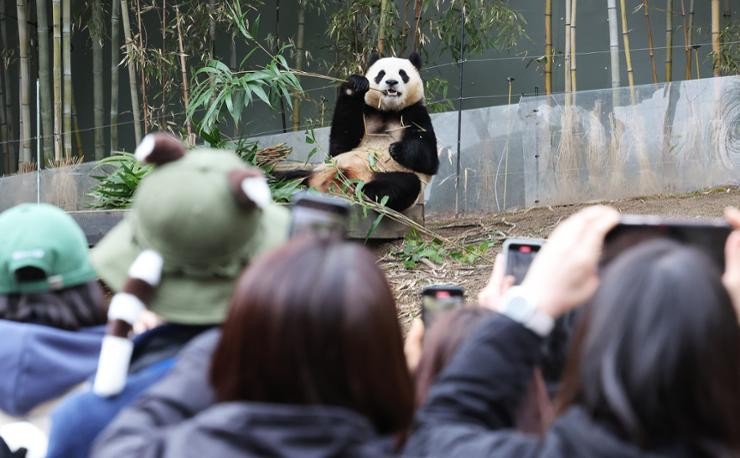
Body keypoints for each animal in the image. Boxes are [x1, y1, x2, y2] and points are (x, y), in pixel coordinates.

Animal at [304, 51, 436, 212]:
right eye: (381, 74)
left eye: (402, 73)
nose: (391, 82)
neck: (388, 111)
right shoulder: (367, 112)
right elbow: (339, 145)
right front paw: (355, 85)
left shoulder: (415, 114)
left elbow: (428, 158)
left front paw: (396, 148)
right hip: (319, 170)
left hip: (386, 175)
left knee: (400, 185)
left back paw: (362, 190)